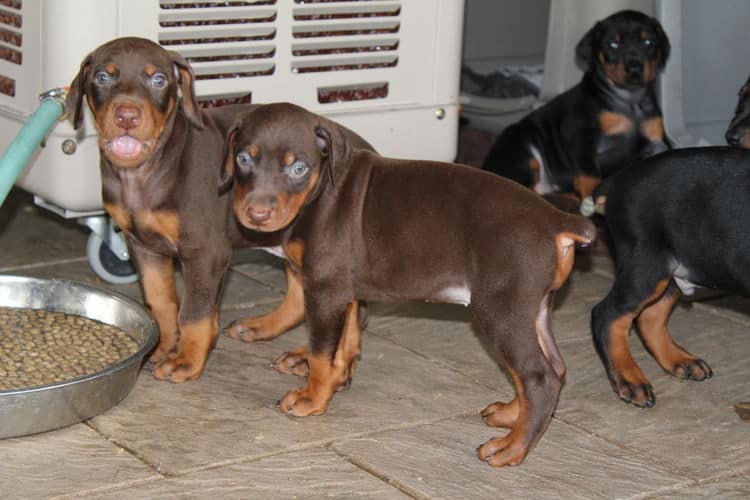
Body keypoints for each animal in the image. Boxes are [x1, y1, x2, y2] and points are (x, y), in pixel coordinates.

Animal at [65, 38, 374, 382]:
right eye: (103, 77)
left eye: (158, 80)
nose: (127, 117)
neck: (147, 171)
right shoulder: (143, 247)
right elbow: (160, 301)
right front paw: (163, 345)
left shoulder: (206, 252)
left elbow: (194, 313)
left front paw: (187, 360)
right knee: (304, 297)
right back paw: (266, 331)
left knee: (352, 311)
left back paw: (316, 362)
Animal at [219, 103, 600, 466]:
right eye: (243, 159)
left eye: (298, 168)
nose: (256, 215)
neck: (322, 190)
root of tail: (558, 220)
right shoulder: (343, 287)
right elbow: (346, 341)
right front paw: (337, 381)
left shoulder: (325, 289)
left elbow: (320, 352)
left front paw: (312, 398)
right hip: (534, 309)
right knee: (554, 369)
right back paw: (510, 415)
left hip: (501, 309)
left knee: (538, 376)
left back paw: (511, 448)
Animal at [484, 8, 672, 203]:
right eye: (613, 44)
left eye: (648, 42)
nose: (634, 68)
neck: (629, 101)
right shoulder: (580, 136)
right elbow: (589, 175)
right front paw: (590, 200)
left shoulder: (657, 142)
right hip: (524, 149)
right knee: (520, 185)